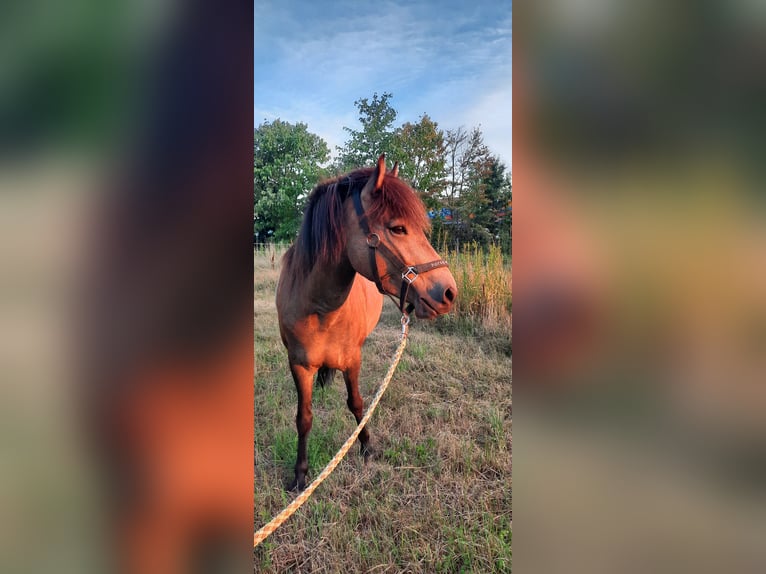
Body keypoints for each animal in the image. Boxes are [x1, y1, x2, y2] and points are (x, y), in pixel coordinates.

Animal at [276, 155, 456, 492]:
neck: (319, 309)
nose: (449, 292)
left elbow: (358, 404)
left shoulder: (353, 360)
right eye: (398, 228)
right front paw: (300, 475)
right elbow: (303, 418)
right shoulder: (299, 365)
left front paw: (366, 446)